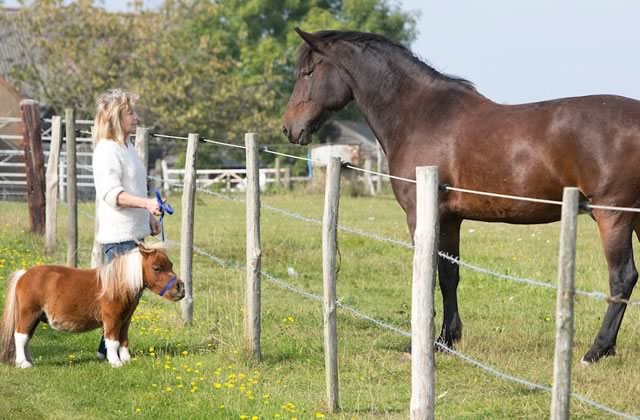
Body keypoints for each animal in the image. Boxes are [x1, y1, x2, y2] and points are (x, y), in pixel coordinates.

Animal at [0, 242, 185, 368]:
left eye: (171, 265)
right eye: (157, 268)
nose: (180, 287)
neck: (117, 284)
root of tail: (24, 274)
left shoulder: (125, 319)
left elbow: (124, 339)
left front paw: (126, 359)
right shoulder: (112, 319)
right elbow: (113, 341)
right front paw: (115, 362)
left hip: (36, 317)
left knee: (26, 338)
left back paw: (29, 360)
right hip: (28, 314)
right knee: (20, 336)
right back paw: (23, 363)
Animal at [281, 28, 640, 365]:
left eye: (308, 72)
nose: (288, 128)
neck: (420, 116)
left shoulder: (421, 214)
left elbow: (428, 274)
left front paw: (422, 343)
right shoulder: (451, 218)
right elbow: (448, 275)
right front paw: (446, 340)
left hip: (613, 216)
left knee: (622, 279)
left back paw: (596, 351)